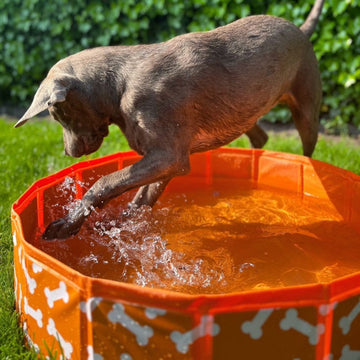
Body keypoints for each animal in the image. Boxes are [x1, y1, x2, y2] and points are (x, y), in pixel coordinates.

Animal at [16, 1, 324, 240]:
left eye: (56, 113)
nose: (68, 152)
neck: (119, 85)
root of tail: (300, 29)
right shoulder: (167, 158)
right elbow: (140, 197)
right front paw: (116, 227)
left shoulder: (169, 156)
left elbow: (106, 182)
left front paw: (66, 225)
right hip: (244, 110)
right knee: (260, 137)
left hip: (306, 108)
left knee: (308, 149)